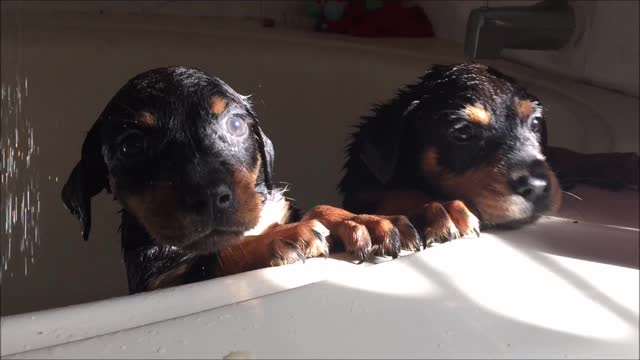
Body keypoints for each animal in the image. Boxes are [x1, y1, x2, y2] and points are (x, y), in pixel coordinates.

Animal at [61, 66, 420, 294]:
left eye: (236, 124)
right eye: (131, 146)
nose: (209, 196)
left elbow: (316, 209)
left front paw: (361, 220)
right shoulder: (159, 282)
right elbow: (214, 258)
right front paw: (283, 236)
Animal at [338, 63, 564, 246]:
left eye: (535, 122)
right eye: (462, 133)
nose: (537, 186)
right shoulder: (361, 188)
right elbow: (395, 193)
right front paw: (438, 211)